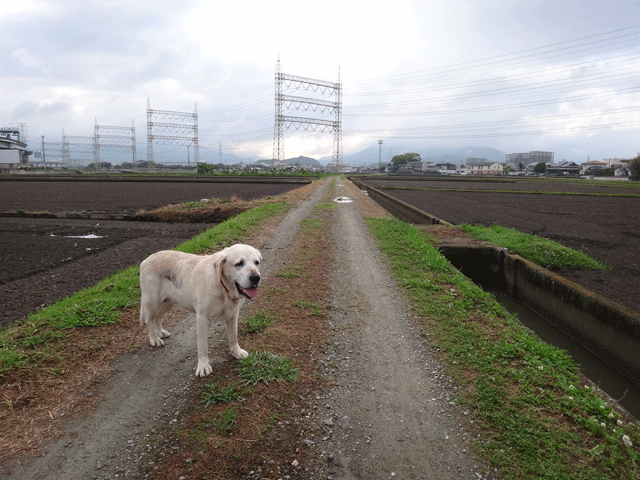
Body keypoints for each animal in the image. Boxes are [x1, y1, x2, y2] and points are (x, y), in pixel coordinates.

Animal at [139, 246, 262, 376]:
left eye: (256, 262)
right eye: (239, 263)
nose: (255, 278)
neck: (224, 289)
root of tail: (145, 260)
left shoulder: (232, 315)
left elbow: (233, 336)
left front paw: (237, 352)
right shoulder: (202, 318)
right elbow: (202, 345)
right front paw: (203, 366)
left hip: (167, 301)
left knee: (158, 317)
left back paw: (160, 332)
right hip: (153, 301)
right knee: (149, 320)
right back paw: (154, 338)